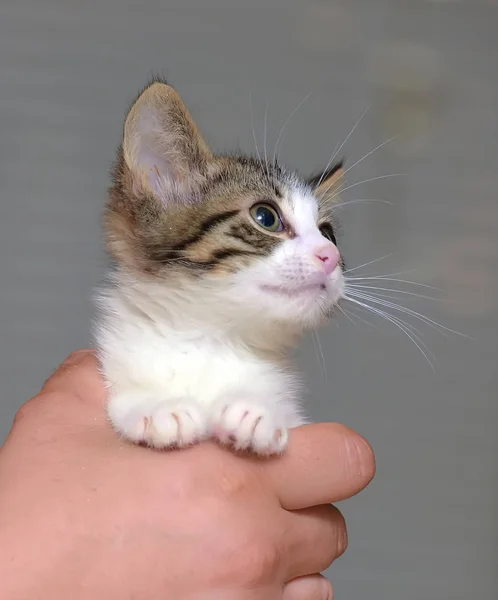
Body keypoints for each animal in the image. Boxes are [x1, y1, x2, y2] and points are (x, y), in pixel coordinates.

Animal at [98, 79, 346, 454]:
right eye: (265, 217)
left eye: (328, 233)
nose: (329, 255)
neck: (214, 341)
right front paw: (158, 407)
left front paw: (257, 410)